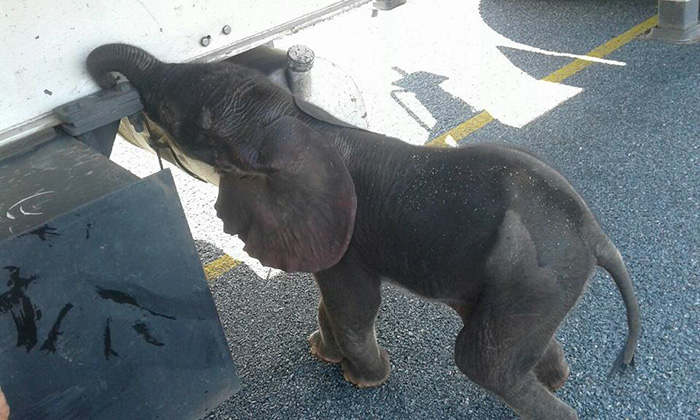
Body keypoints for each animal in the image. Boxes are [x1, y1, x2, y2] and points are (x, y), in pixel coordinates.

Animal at [87, 44, 640, 418]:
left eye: (181, 121)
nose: (108, 85)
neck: (292, 123)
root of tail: (596, 236)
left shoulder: (347, 239)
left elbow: (353, 303)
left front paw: (362, 380)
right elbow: (334, 300)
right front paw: (322, 352)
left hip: (533, 275)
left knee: (481, 361)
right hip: (527, 282)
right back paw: (556, 379)